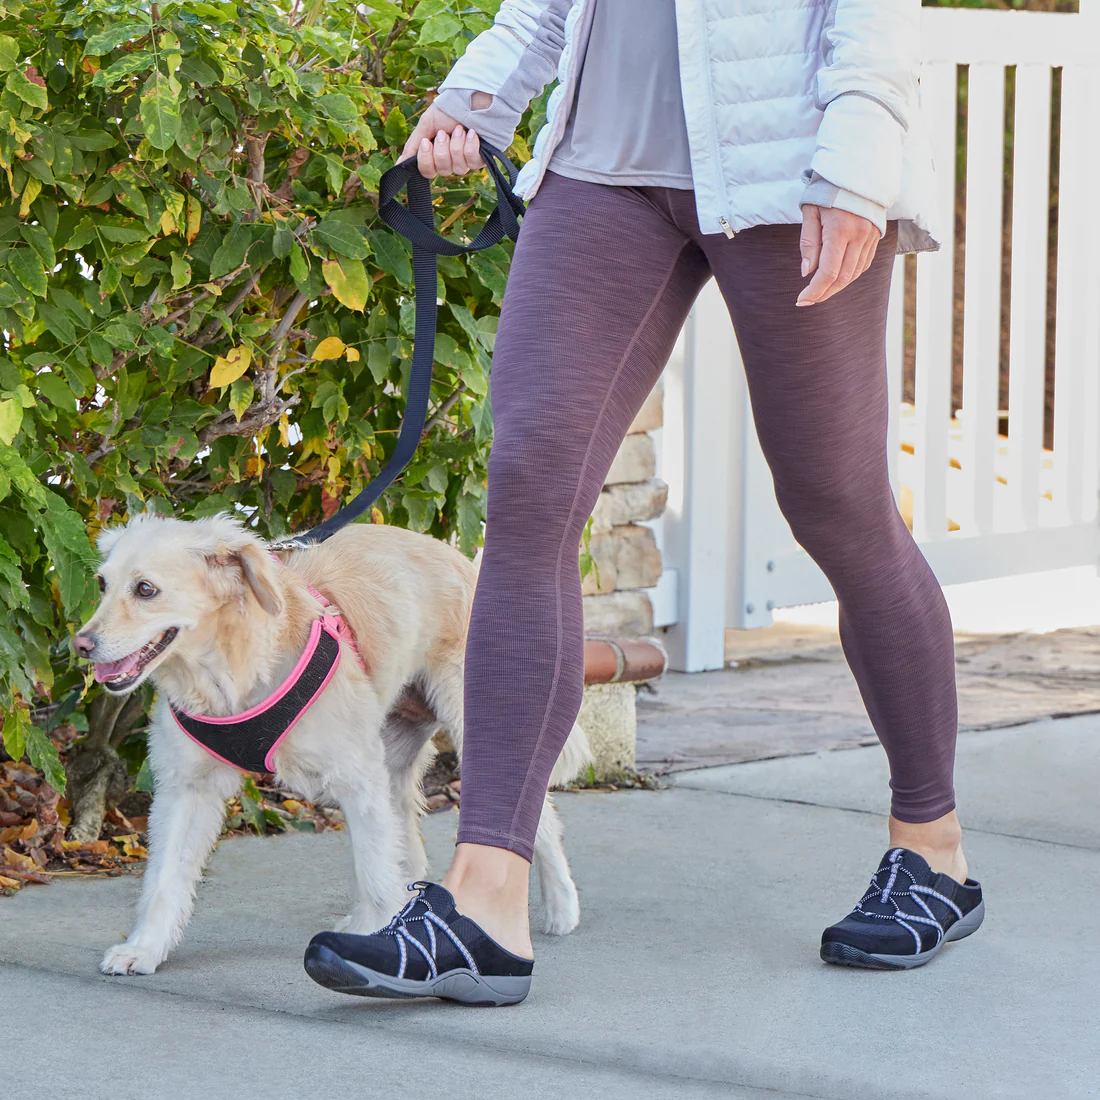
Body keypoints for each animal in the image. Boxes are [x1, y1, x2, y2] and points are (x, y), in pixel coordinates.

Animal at [75, 510, 594, 976]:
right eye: (101, 584)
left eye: (146, 589)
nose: (81, 645)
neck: (231, 673)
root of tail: (462, 559)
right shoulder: (186, 790)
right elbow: (164, 881)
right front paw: (145, 949)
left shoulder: (357, 778)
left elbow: (373, 872)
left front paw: (375, 942)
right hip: (394, 760)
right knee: (406, 844)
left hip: (471, 727)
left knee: (536, 814)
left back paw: (561, 906)